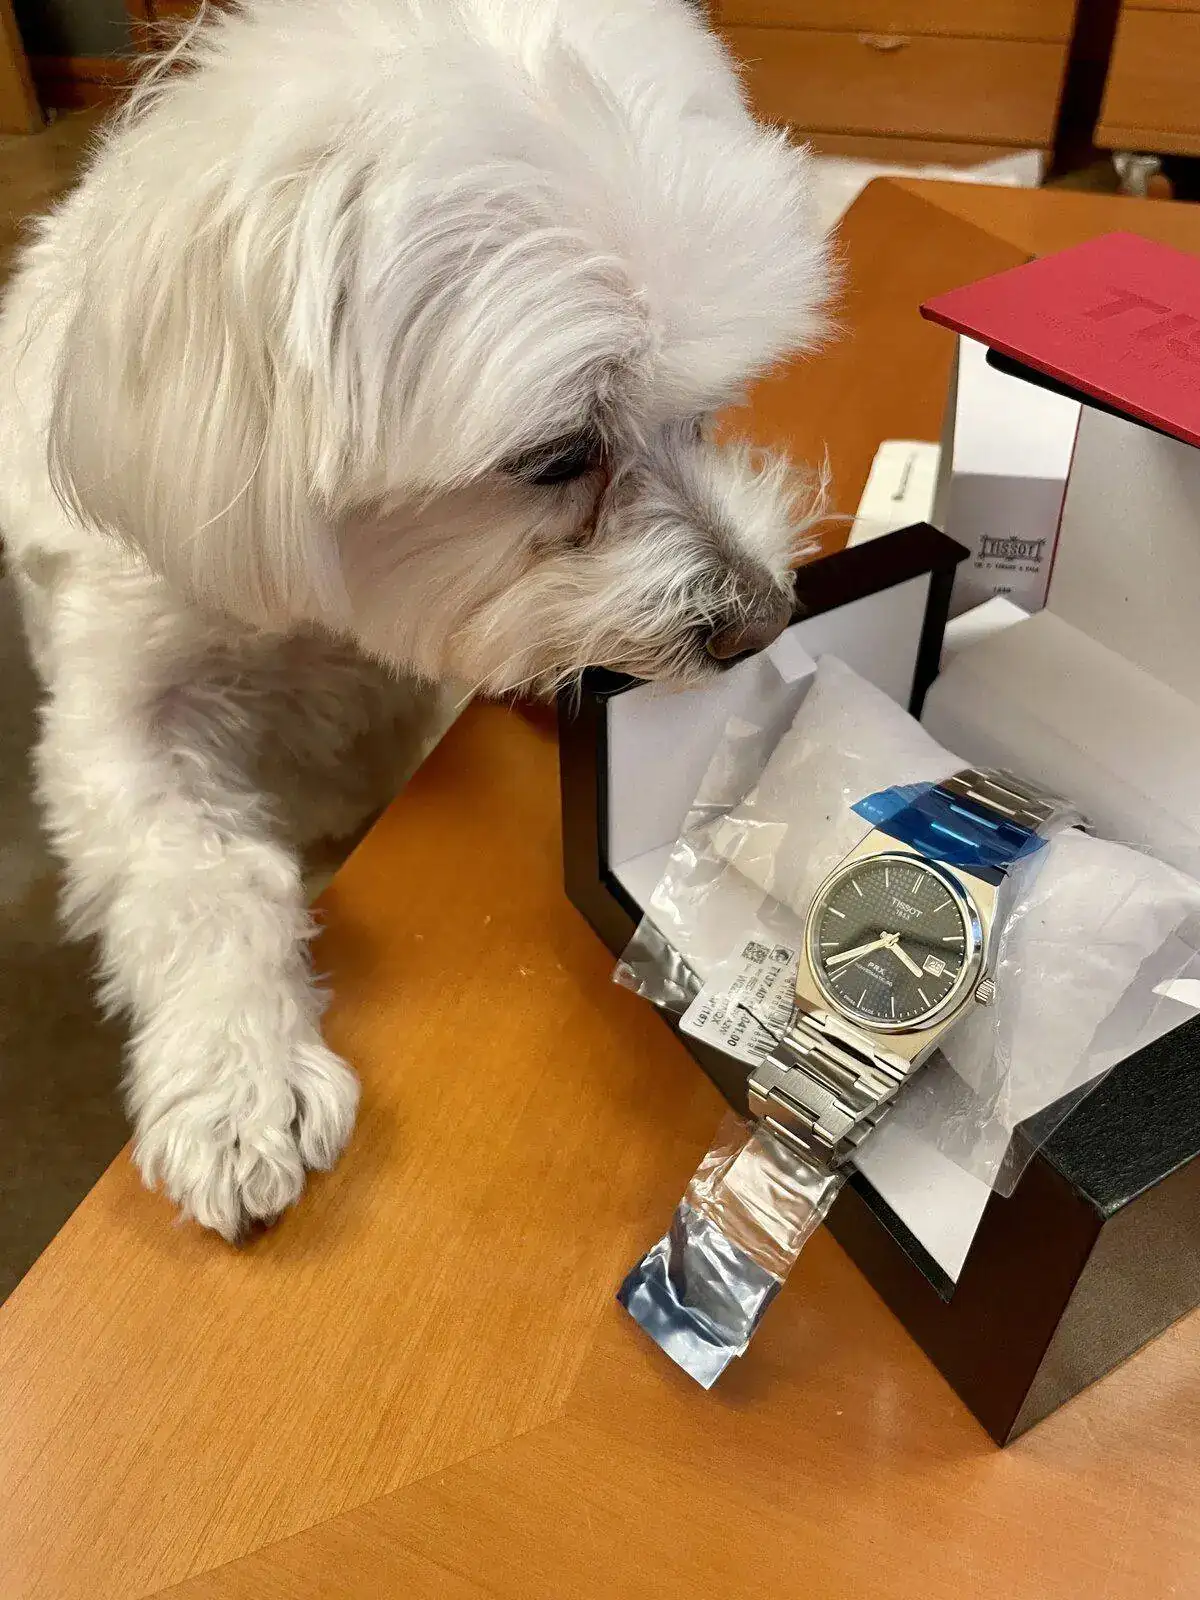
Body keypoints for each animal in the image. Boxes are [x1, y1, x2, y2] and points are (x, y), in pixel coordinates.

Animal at [0, 0, 831, 1241]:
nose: (762, 618)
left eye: (708, 408)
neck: (320, 609)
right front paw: (239, 1079)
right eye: (556, 456)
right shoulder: (119, 712)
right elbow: (202, 878)